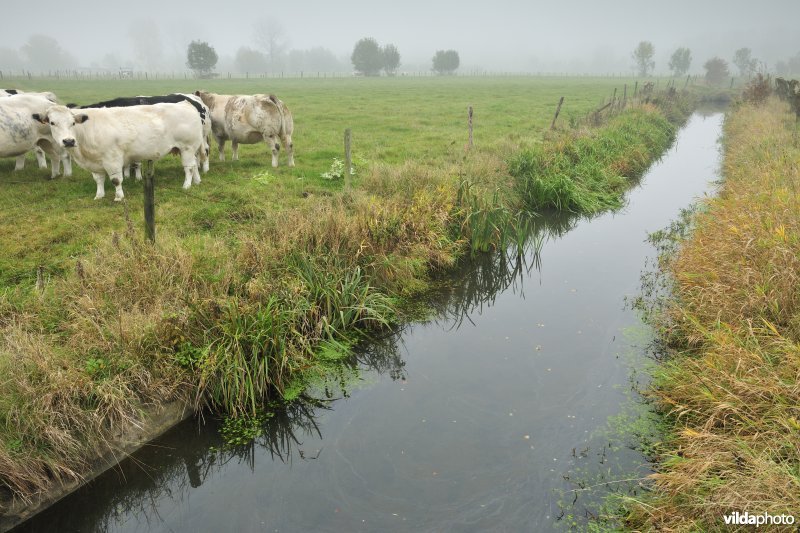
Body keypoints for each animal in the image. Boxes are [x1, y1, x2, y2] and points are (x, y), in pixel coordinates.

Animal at [39, 103, 206, 201]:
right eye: (52, 123)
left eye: (73, 123)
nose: (68, 141)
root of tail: (185, 103)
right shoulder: (95, 163)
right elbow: (98, 180)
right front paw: (99, 195)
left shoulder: (112, 159)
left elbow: (116, 180)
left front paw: (119, 197)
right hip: (191, 149)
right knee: (194, 165)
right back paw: (197, 181)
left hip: (187, 147)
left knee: (189, 168)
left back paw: (186, 185)